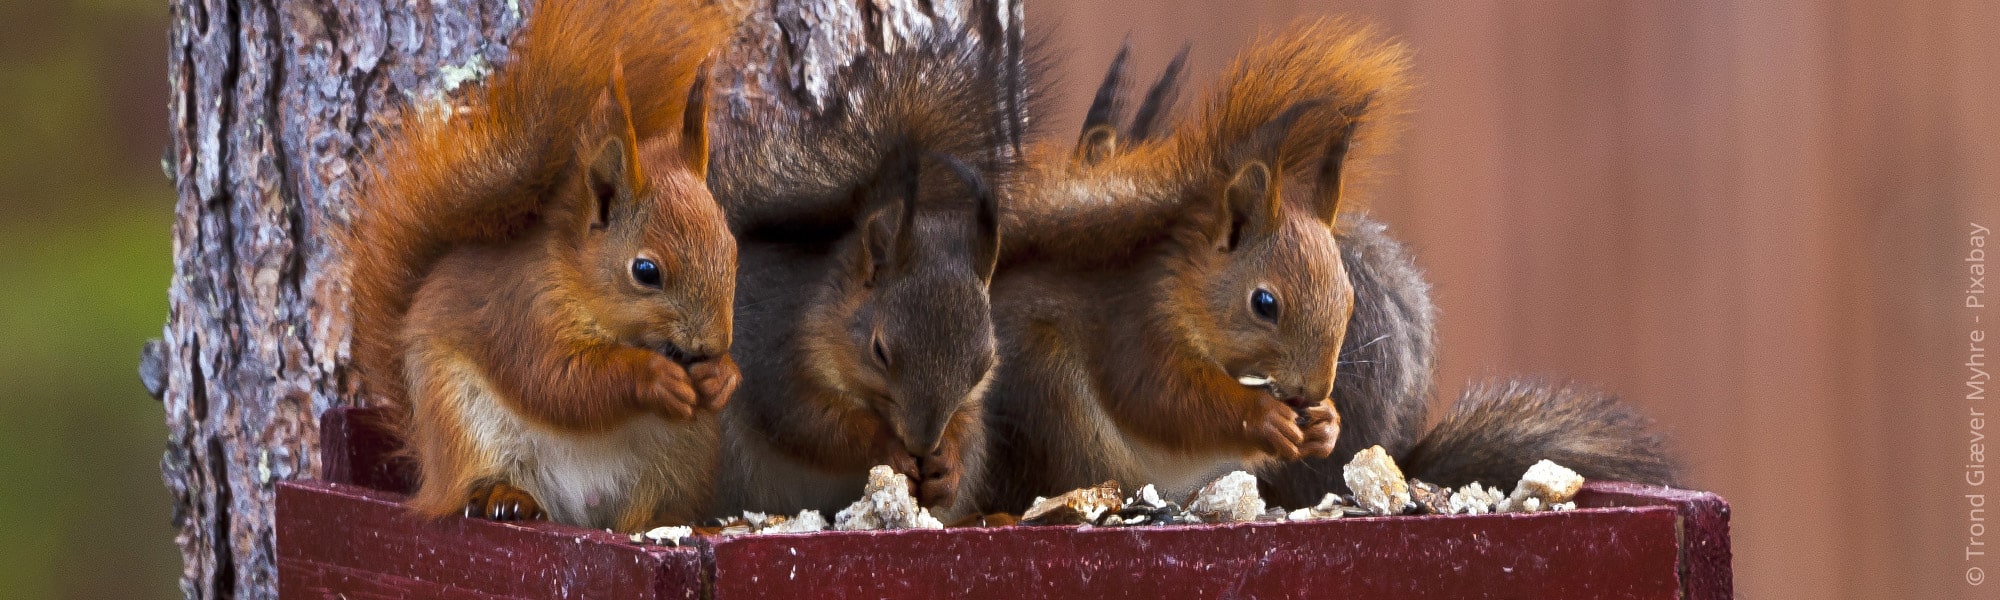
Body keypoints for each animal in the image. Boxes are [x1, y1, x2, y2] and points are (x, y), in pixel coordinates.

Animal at [344, 0, 744, 528]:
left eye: (732, 249)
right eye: (646, 272)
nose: (714, 344)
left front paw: (722, 377)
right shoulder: (523, 312)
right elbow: (557, 382)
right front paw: (654, 378)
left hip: (682, 454)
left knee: (654, 507)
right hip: (461, 424)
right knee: (475, 483)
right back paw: (506, 497)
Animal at [704, 27, 1016, 520]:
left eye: (983, 363)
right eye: (879, 351)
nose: (922, 443)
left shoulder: (971, 404)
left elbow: (965, 427)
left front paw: (948, 466)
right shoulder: (776, 363)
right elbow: (815, 426)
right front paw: (887, 446)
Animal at [972, 18, 1408, 506]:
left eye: (1349, 299)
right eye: (1264, 304)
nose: (1313, 390)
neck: (1188, 291)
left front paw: (1327, 424)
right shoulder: (1136, 325)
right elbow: (1164, 400)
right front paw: (1264, 417)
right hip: (1049, 390)